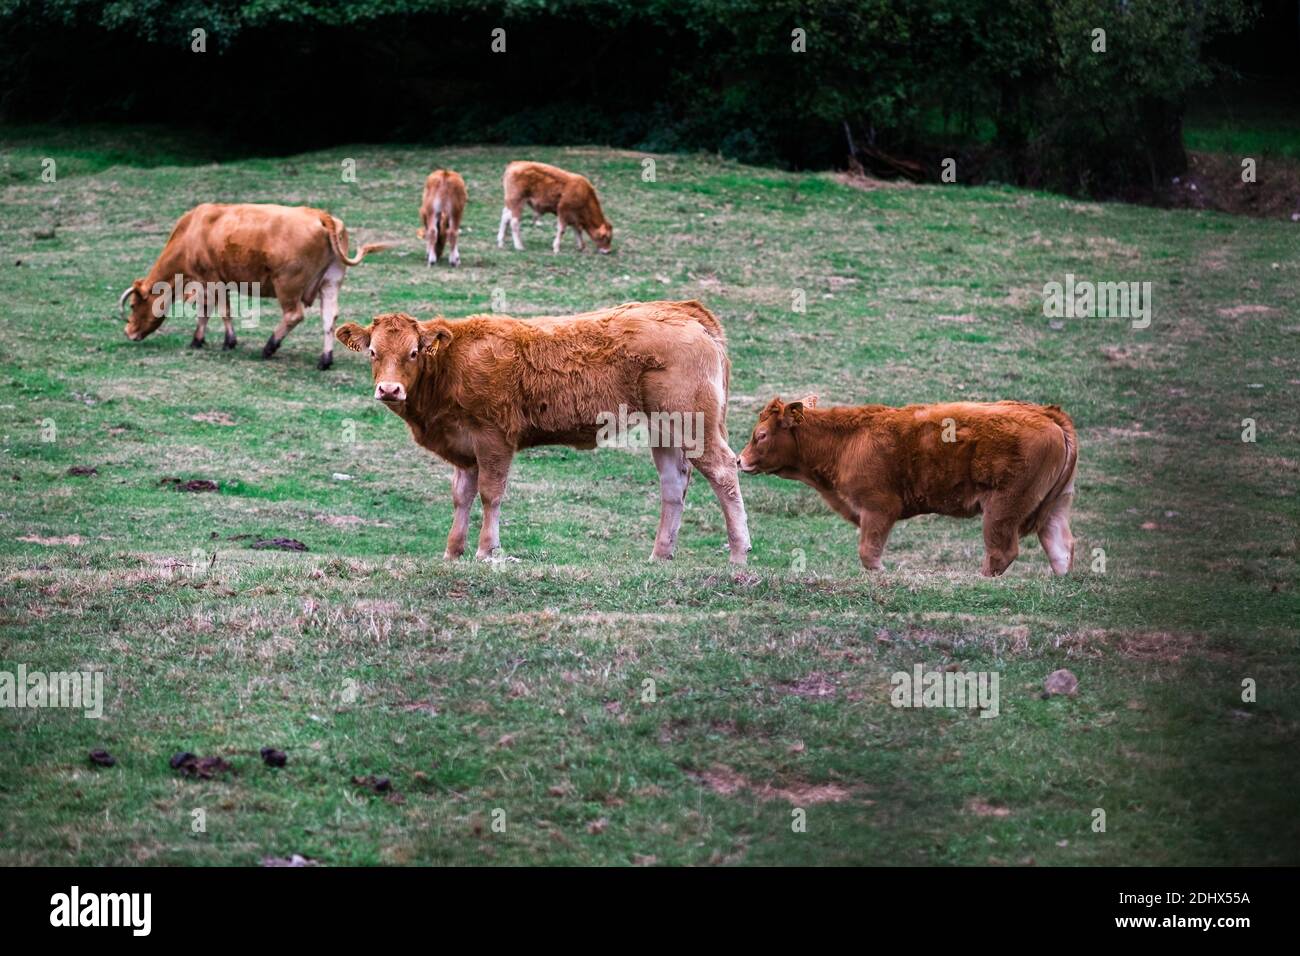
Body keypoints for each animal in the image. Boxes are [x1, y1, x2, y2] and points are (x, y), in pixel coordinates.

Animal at [119, 203, 389, 370]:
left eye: (133, 305)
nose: (128, 332)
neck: (192, 230)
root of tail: (321, 215)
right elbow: (212, 309)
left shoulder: (210, 279)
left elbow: (217, 310)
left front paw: (222, 341)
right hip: (330, 281)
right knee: (329, 318)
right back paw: (325, 359)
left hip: (287, 284)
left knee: (294, 315)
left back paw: (269, 347)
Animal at [334, 300, 750, 563]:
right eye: (372, 352)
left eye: (413, 353)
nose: (389, 389)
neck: (453, 365)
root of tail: (683, 309)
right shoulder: (464, 448)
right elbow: (461, 496)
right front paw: (453, 551)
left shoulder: (494, 439)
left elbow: (490, 494)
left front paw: (487, 550)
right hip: (665, 430)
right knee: (674, 485)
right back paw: (660, 554)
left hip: (695, 424)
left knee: (723, 471)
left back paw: (738, 553)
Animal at [738, 397, 1077, 576]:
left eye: (761, 435)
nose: (740, 460)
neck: (848, 440)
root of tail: (1046, 413)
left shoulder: (878, 509)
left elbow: (869, 553)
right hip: (1055, 507)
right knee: (1060, 546)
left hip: (1002, 509)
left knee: (1001, 552)